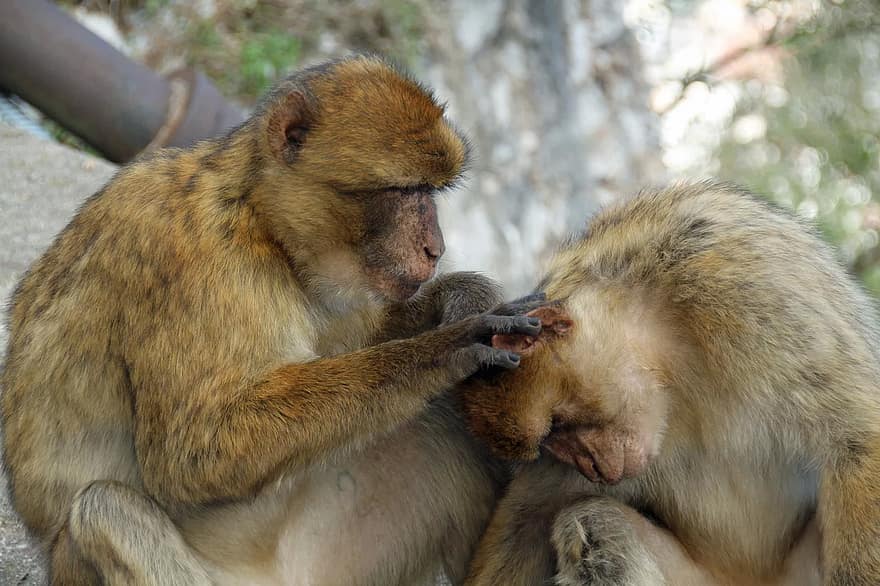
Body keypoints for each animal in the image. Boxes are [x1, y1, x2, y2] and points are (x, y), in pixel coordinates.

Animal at [0, 55, 544, 585]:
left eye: (431, 190)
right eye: (405, 190)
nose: (436, 249)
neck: (257, 217)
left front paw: (464, 296)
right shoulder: (196, 262)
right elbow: (194, 454)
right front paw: (447, 347)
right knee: (105, 511)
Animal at [457, 181, 880, 585]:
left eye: (559, 425)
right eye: (551, 443)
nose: (596, 469)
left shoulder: (747, 293)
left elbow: (856, 440)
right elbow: (531, 515)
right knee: (595, 522)